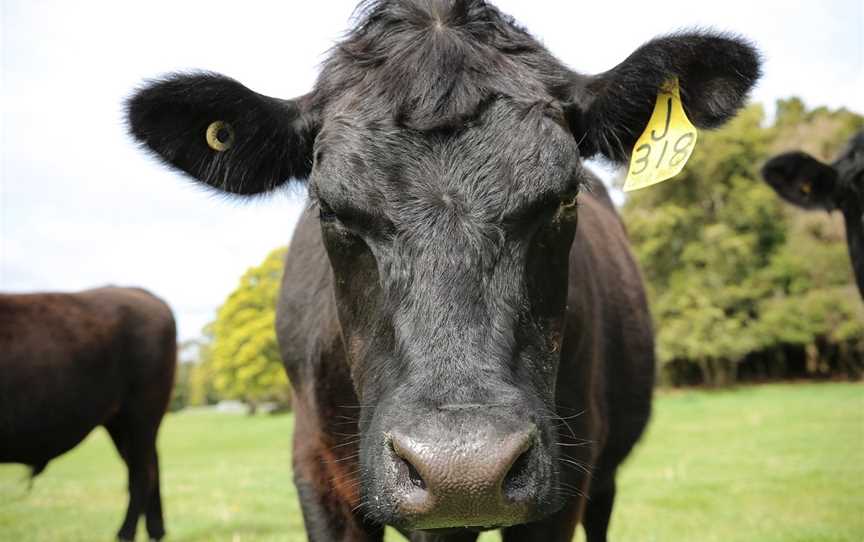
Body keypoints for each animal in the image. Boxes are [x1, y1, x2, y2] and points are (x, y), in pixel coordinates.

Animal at [0, 286, 177, 540]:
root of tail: (139, 292)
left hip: (141, 416)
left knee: (141, 474)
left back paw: (124, 534)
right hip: (121, 424)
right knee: (149, 467)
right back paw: (155, 531)